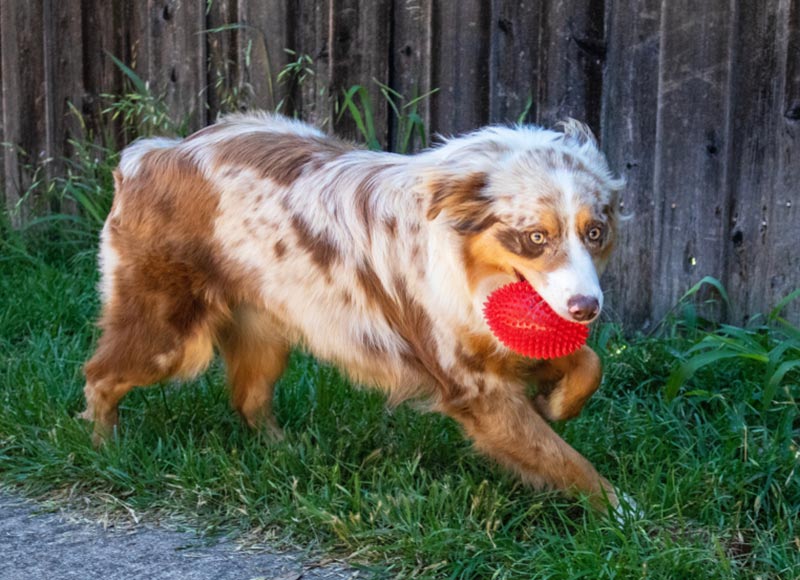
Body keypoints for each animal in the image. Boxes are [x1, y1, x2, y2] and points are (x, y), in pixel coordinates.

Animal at [79, 113, 624, 512]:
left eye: (595, 232)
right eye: (536, 237)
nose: (587, 309)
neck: (475, 270)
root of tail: (151, 155)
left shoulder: (512, 340)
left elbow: (590, 366)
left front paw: (556, 402)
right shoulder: (475, 387)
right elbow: (566, 461)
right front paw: (622, 515)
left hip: (265, 329)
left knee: (249, 399)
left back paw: (288, 451)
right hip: (168, 336)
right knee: (100, 375)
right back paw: (105, 447)